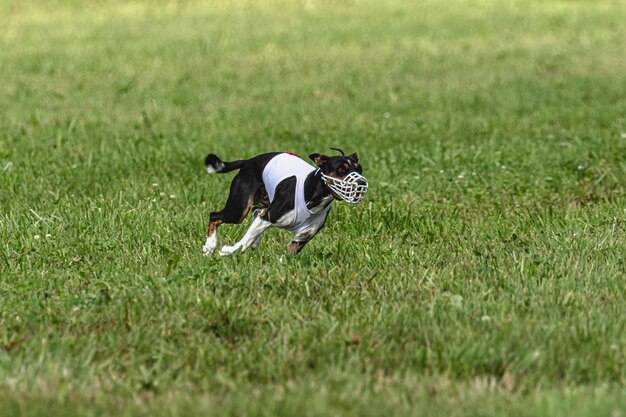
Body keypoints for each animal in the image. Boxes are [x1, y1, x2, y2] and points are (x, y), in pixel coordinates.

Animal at [201, 148, 366, 255]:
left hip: (262, 202)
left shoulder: (301, 238)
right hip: (238, 210)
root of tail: (249, 161)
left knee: (255, 213)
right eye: (341, 169)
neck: (311, 194)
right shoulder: (268, 217)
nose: (362, 183)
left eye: (359, 169)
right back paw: (210, 246)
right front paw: (228, 251)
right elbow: (245, 241)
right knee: (214, 215)